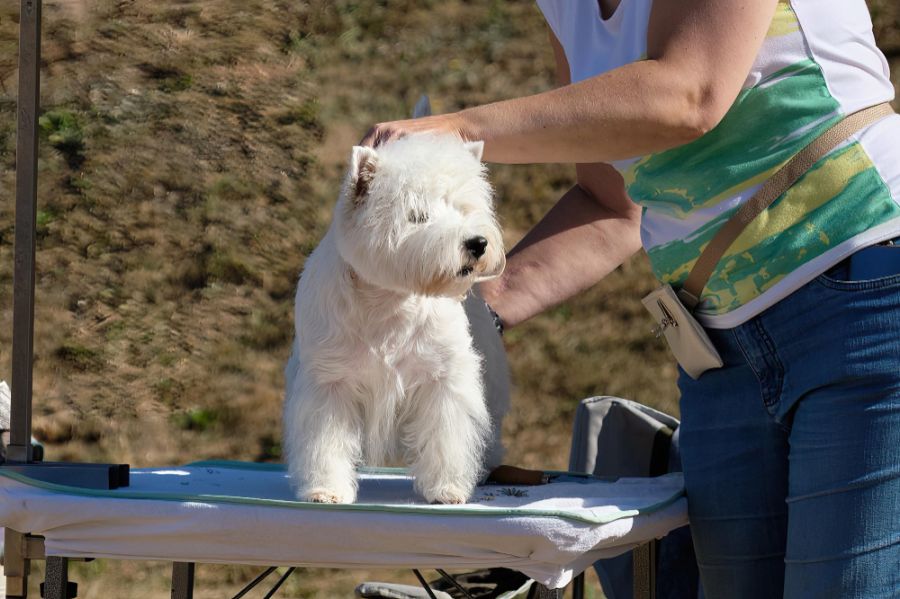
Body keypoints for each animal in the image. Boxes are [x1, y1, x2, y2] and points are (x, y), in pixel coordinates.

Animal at [284, 134, 506, 504]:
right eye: (419, 215)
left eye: (463, 207)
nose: (477, 243)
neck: (389, 302)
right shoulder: (330, 382)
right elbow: (326, 441)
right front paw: (326, 489)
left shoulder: (442, 378)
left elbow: (447, 436)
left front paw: (446, 488)